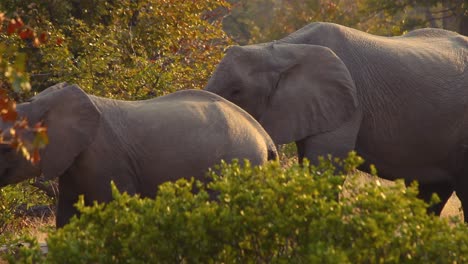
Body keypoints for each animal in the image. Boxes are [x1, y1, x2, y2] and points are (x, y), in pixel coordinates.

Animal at [0, 83, 278, 227]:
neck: (42, 102)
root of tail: (265, 136)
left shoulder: (106, 160)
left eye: (7, 148)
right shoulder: (75, 161)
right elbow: (67, 214)